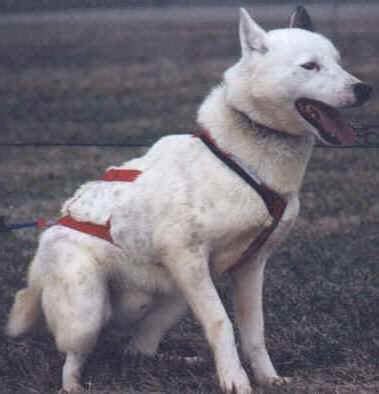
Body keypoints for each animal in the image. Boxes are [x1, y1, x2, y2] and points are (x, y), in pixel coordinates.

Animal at [7, 6, 372, 394]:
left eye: (339, 62)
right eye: (310, 66)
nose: (364, 89)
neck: (240, 160)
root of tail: (46, 239)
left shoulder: (250, 265)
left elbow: (254, 332)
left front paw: (267, 378)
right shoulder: (188, 258)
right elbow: (221, 323)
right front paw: (235, 380)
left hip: (176, 297)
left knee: (137, 349)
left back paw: (177, 361)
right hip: (89, 310)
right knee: (74, 357)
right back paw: (74, 385)